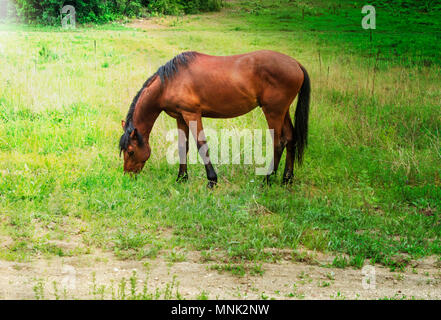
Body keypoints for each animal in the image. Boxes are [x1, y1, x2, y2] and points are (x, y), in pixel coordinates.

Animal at [118, 50, 308, 188]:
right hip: (283, 111)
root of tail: (296, 64)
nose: (127, 176)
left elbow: (201, 145)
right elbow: (183, 146)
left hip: (273, 112)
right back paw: (287, 179)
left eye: (131, 151)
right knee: (290, 139)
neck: (169, 83)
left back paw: (267, 180)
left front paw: (212, 180)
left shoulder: (192, 114)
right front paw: (181, 178)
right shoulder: (180, 117)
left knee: (279, 143)